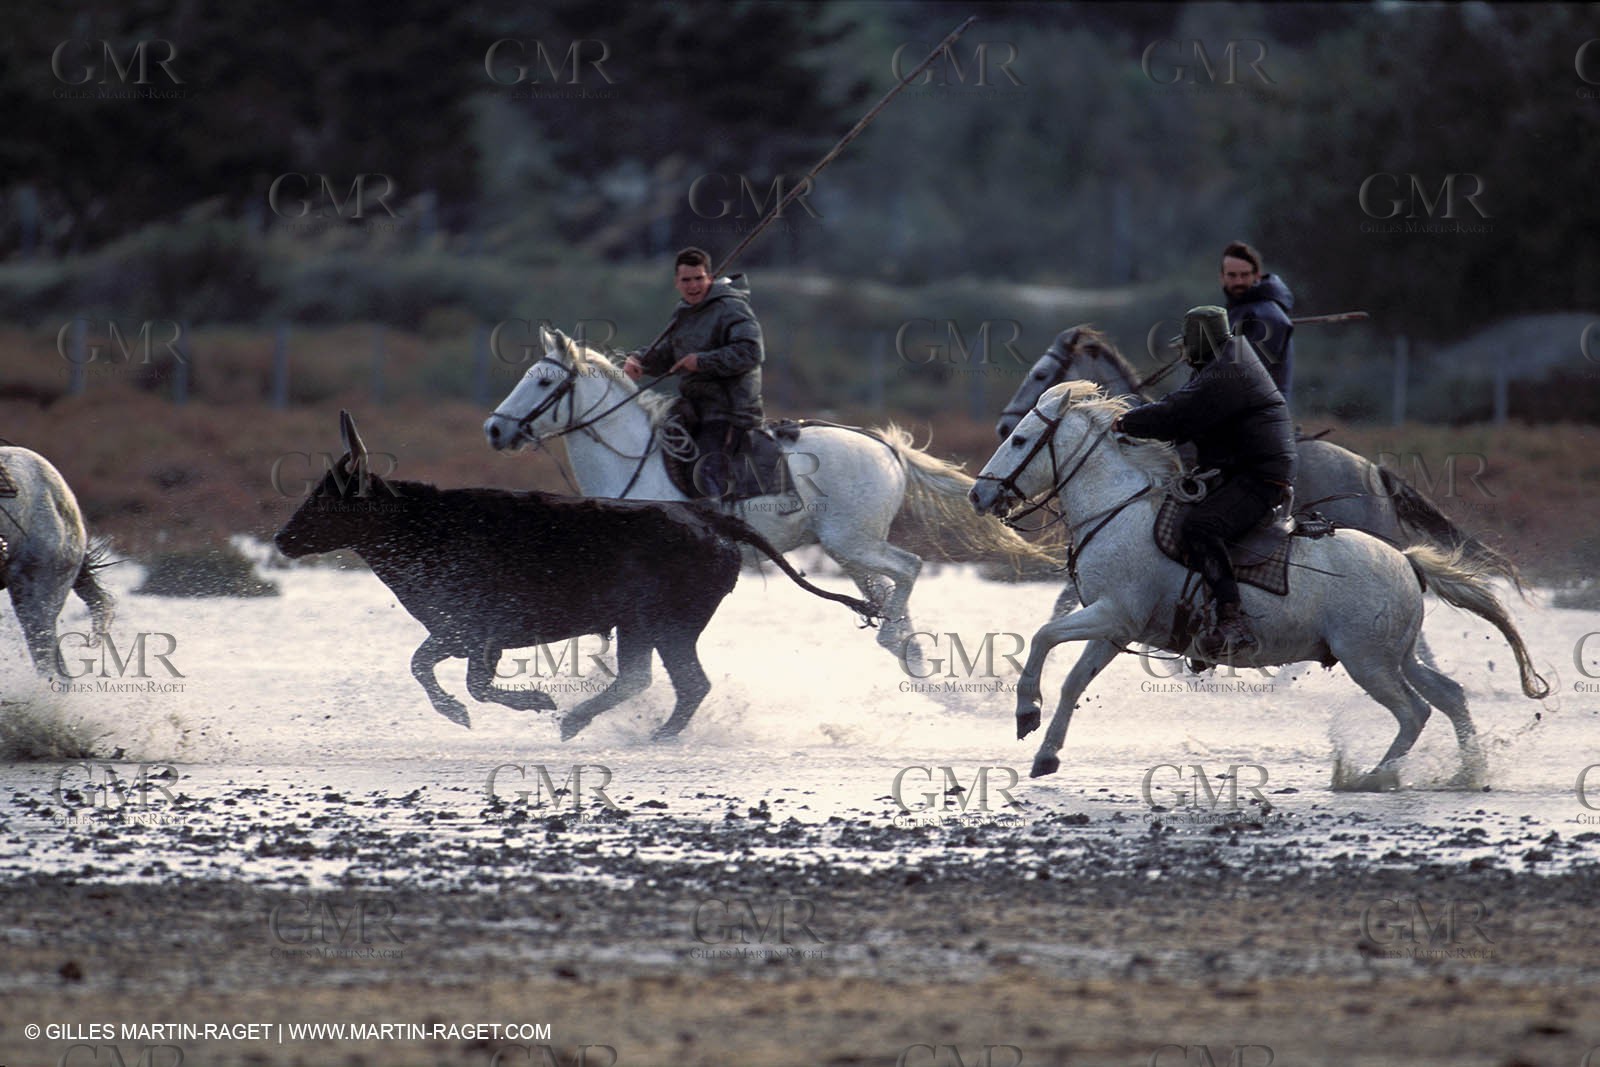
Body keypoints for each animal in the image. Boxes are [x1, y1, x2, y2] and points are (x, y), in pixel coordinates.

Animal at [273, 412, 875, 739]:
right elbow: (426, 668)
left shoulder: (477, 632)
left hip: (669, 625)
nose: (281, 539)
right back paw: (586, 722)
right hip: (642, 627)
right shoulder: (456, 633)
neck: (423, 527)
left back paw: (631, 732)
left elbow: (466, 681)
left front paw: (533, 703)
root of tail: (711, 520)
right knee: (644, 679)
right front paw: (467, 713)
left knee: (686, 684)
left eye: (329, 498)